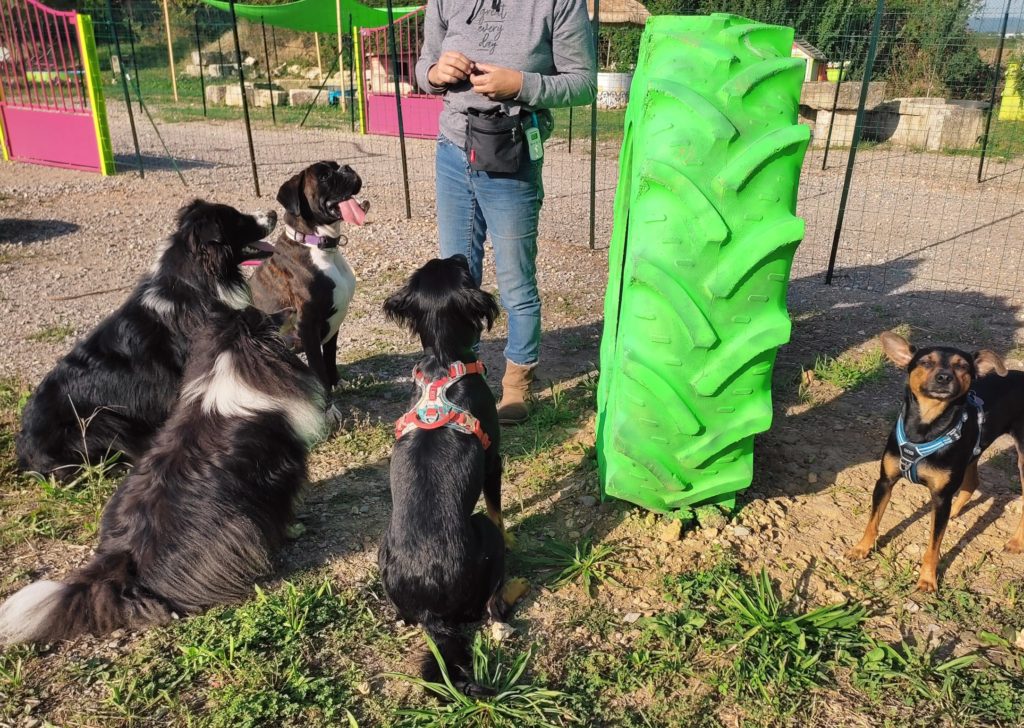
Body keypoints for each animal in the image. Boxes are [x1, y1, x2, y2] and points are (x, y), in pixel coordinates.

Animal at [380, 255, 532, 696]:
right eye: (460, 269)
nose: (463, 255)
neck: (443, 361)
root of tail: (434, 613)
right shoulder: (495, 459)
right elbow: (499, 510)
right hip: (483, 537)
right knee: (493, 605)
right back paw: (513, 590)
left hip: (382, 548)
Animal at [843, 329, 1019, 593]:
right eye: (926, 362)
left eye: (962, 366)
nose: (944, 377)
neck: (925, 427)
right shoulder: (885, 481)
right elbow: (872, 521)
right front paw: (861, 548)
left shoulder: (941, 496)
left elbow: (933, 546)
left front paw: (927, 579)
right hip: (972, 452)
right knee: (972, 482)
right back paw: (956, 511)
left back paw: (1016, 542)